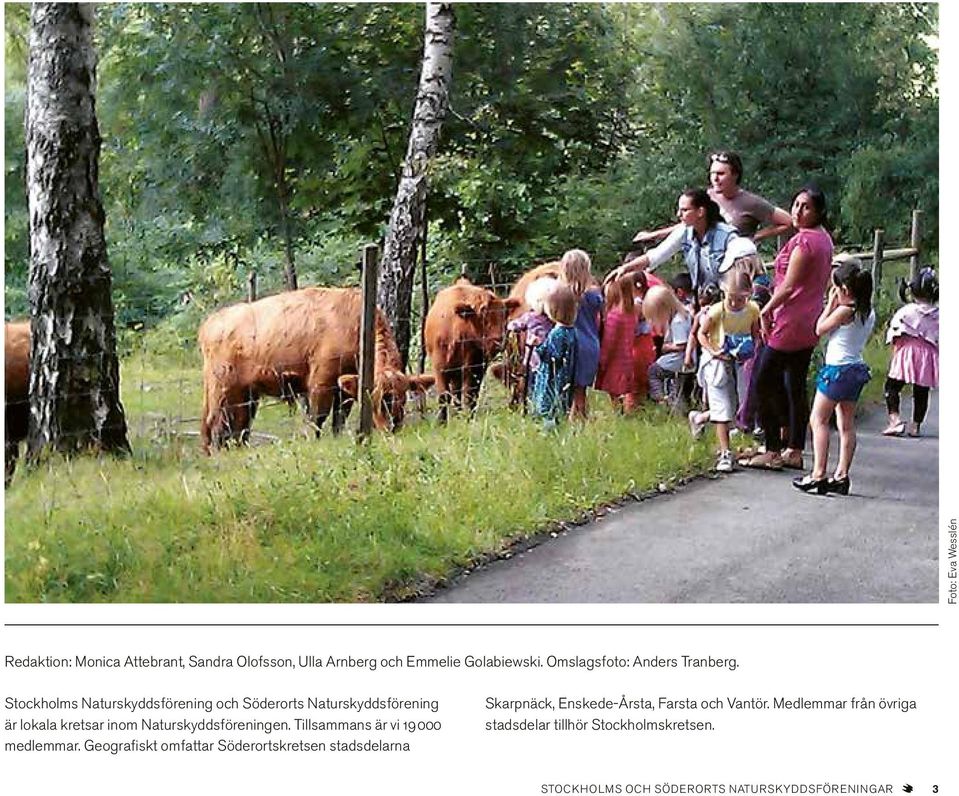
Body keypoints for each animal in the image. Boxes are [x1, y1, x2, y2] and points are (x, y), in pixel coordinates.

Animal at [199, 286, 436, 450]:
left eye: (403, 398)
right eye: (378, 399)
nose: (393, 427)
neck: (355, 326)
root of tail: (211, 323)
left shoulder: (343, 389)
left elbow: (339, 419)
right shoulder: (321, 381)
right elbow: (317, 417)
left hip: (246, 394)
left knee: (238, 426)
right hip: (223, 391)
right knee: (217, 425)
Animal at [426, 276, 520, 420]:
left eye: (504, 315)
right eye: (482, 317)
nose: (499, 340)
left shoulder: (475, 368)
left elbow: (471, 395)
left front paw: (470, 418)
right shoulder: (440, 368)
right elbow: (443, 397)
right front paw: (442, 421)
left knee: (459, 393)